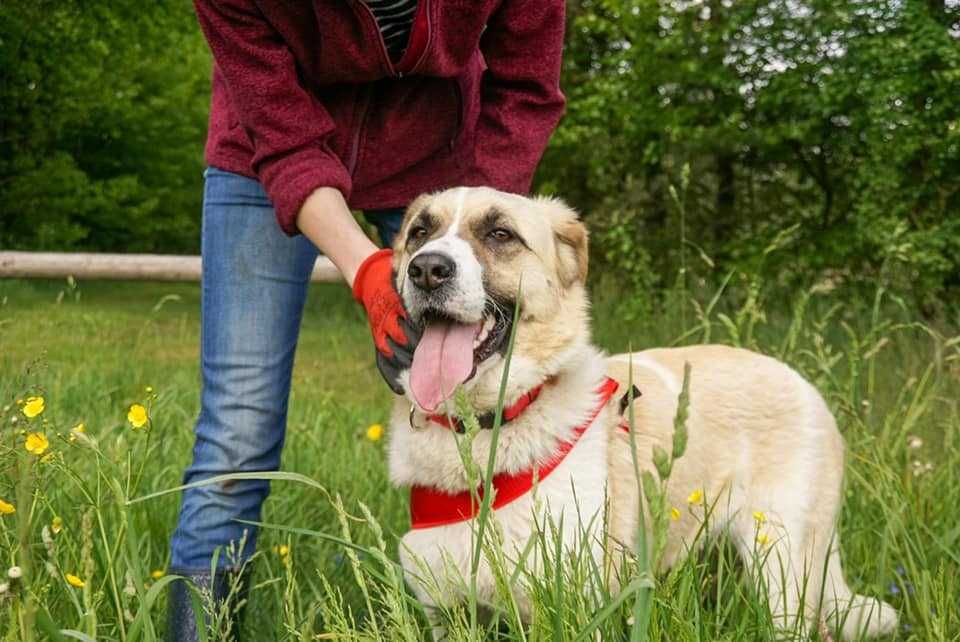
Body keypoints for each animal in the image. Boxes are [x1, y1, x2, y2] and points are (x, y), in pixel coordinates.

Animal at [384, 184, 900, 636]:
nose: (427, 269)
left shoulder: (574, 610)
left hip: (781, 570)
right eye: (419, 232)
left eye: (499, 234)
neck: (484, 429)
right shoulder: (448, 615)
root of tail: (804, 384)